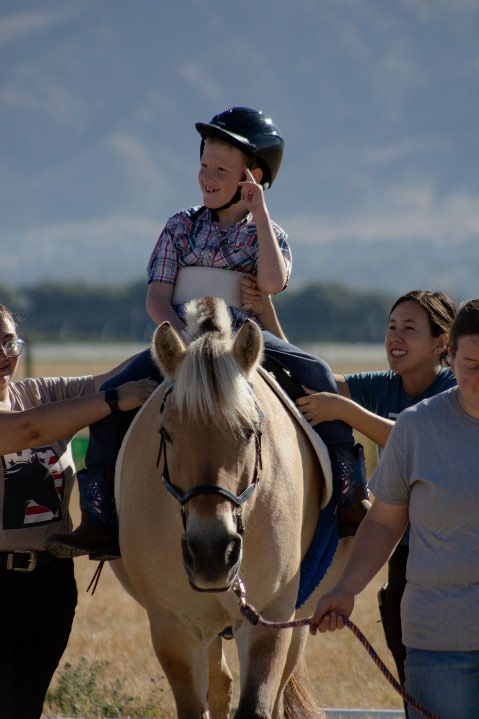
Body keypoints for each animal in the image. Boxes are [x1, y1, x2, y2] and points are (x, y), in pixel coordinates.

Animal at [112, 297, 350, 719]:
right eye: (166, 433)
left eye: (251, 432)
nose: (212, 553)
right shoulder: (173, 626)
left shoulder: (270, 617)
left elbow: (257, 704)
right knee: (220, 684)